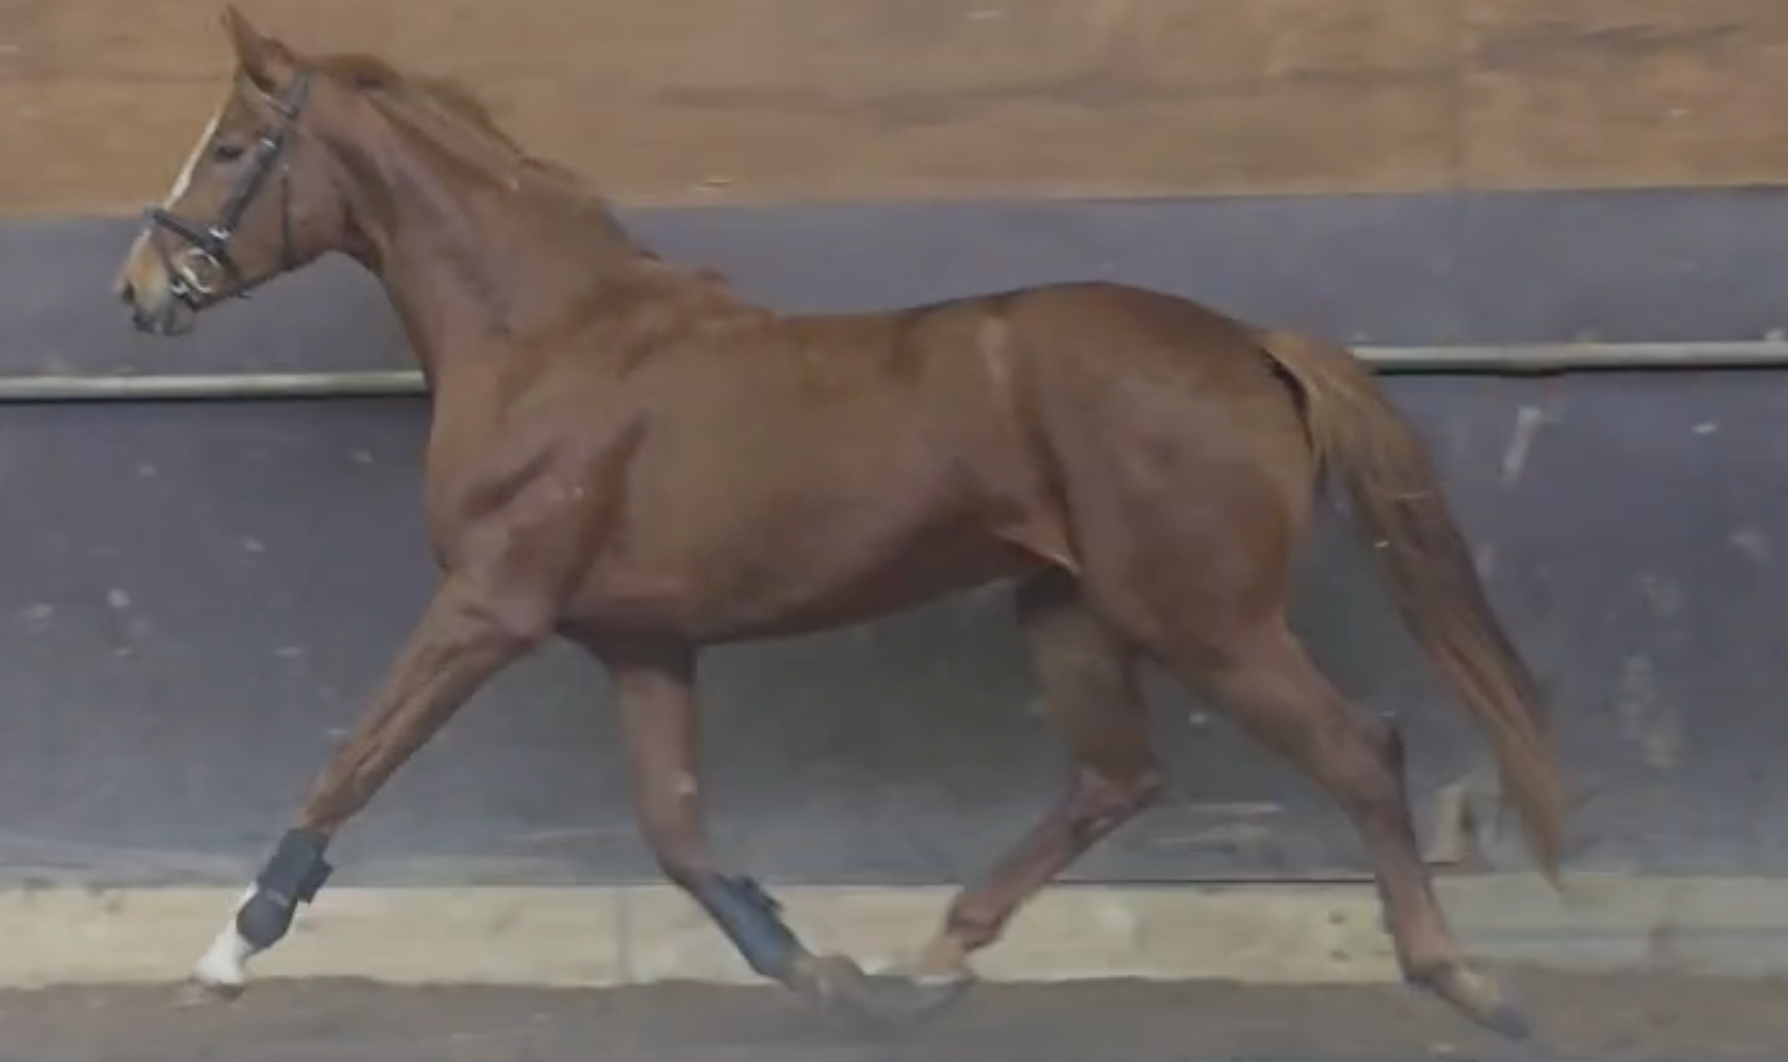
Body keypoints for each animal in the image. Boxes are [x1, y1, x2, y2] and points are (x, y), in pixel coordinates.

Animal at [113, 6, 1566, 1040]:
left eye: (233, 148)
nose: (140, 287)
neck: (551, 341)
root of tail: (1253, 347)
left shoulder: (489, 607)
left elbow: (351, 763)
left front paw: (220, 956)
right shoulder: (643, 644)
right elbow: (680, 837)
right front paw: (821, 973)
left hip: (1205, 617)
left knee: (1359, 751)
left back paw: (1472, 984)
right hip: (1068, 606)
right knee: (1117, 777)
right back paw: (929, 963)